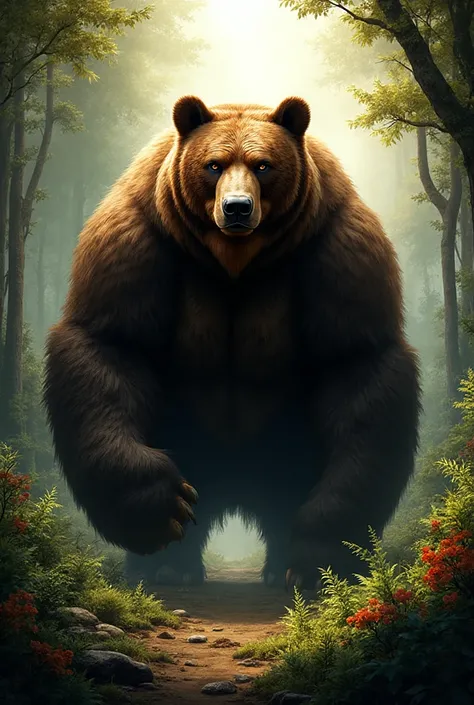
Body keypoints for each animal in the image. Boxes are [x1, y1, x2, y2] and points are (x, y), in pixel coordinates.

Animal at [43, 95, 421, 590]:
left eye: (263, 165)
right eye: (213, 164)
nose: (237, 208)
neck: (235, 262)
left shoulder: (334, 243)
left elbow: (357, 364)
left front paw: (323, 551)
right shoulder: (141, 236)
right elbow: (112, 346)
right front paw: (161, 505)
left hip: (286, 435)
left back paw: (284, 566)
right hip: (186, 427)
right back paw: (168, 566)